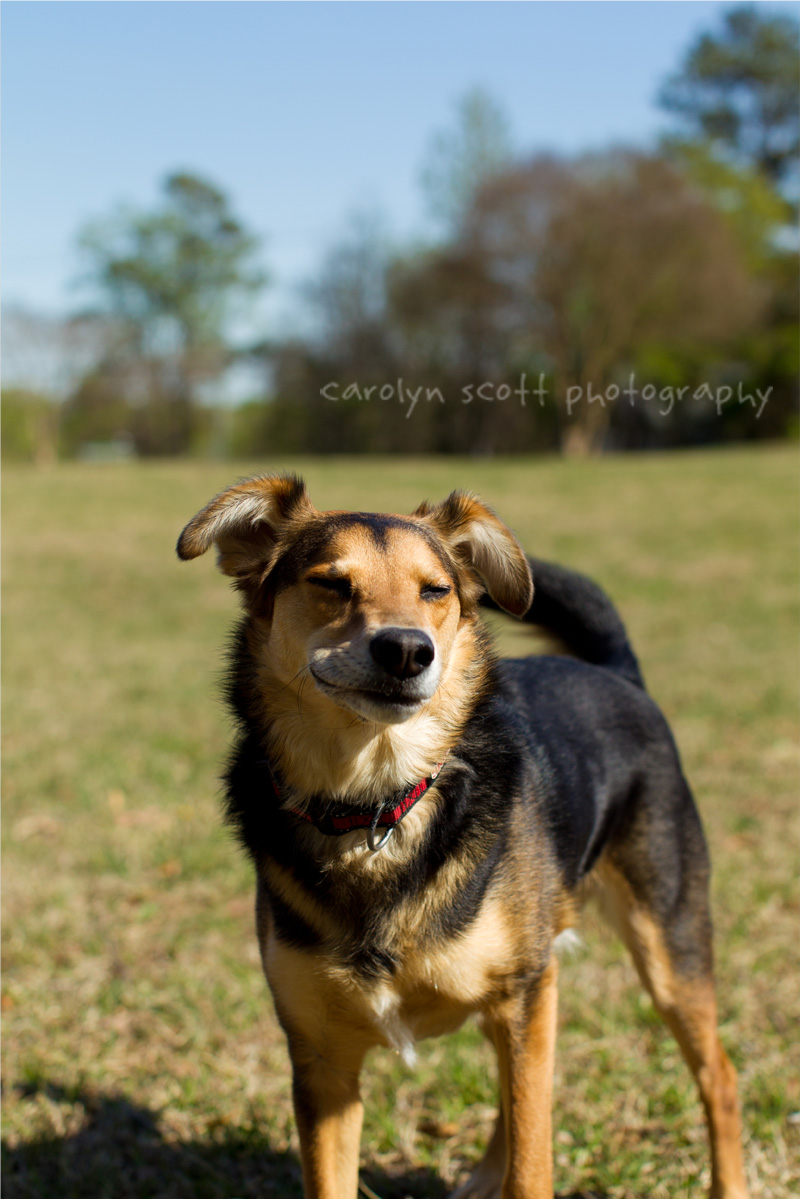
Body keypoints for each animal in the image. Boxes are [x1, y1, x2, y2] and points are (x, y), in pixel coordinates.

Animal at [176, 474, 753, 1199]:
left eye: (435, 590)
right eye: (331, 583)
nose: (406, 649)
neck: (378, 802)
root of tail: (617, 674)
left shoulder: (523, 992)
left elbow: (534, 1161)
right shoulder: (321, 1058)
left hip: (666, 946)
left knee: (717, 1077)